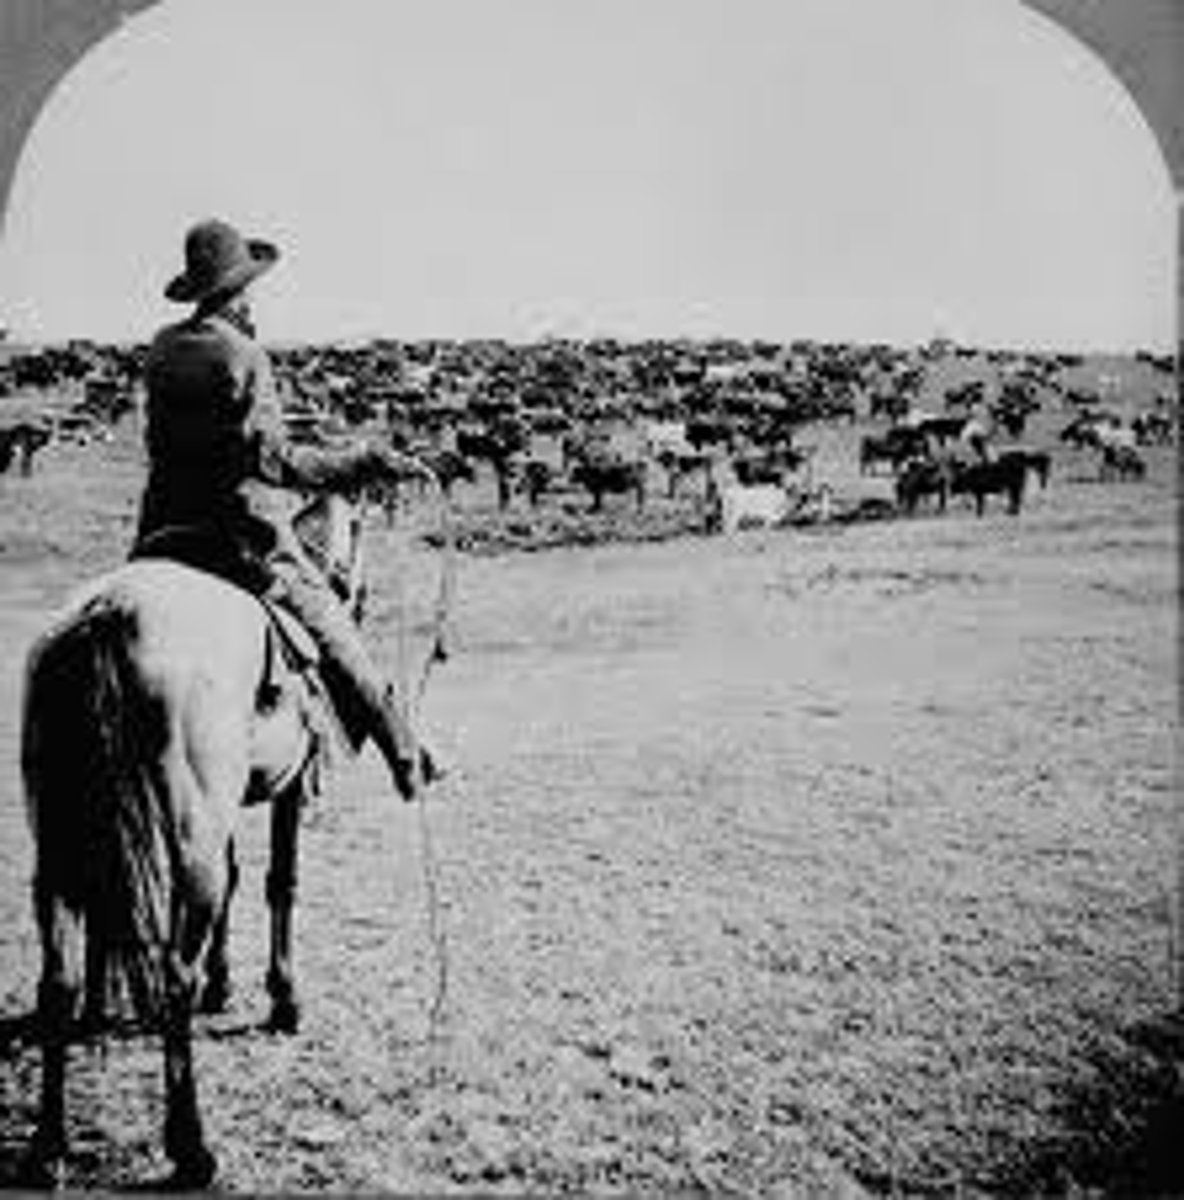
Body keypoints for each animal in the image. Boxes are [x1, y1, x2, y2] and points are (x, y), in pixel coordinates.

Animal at [19, 489, 379, 1190]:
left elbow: (240, 882)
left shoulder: (226, 811)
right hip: (189, 845)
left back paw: (49, 1145)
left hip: (64, 847)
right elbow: (278, 883)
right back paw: (191, 1147)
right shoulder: (284, 793)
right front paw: (283, 1000)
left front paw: (224, 983)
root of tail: (106, 616)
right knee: (171, 975)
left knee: (58, 982)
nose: (358, 598)